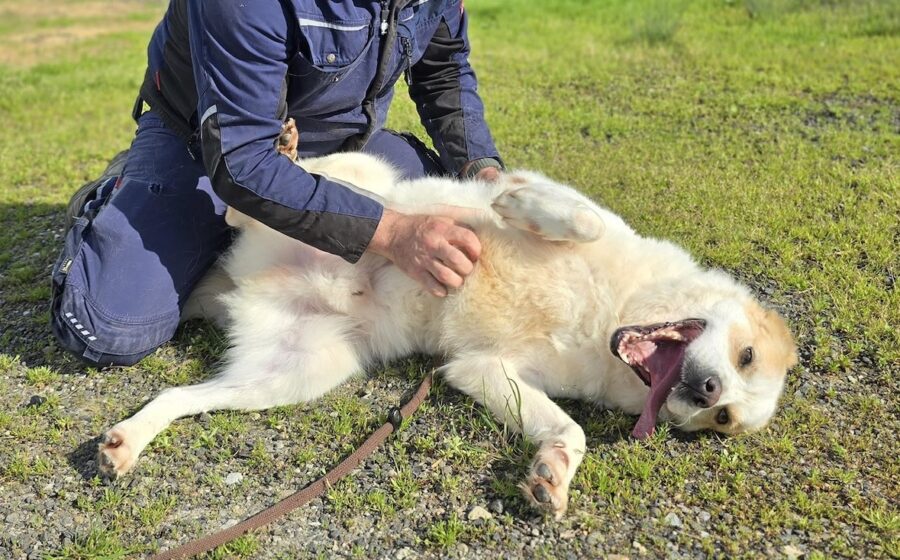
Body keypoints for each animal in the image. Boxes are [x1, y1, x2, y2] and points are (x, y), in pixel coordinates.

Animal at [97, 129, 797, 518]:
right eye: (745, 357)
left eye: (723, 421)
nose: (704, 392)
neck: (612, 314)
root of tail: (242, 283)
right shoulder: (572, 217)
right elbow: (579, 217)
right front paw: (516, 202)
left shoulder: (480, 368)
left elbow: (569, 430)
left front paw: (552, 477)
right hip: (366, 183)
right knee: (257, 198)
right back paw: (285, 150)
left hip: (293, 377)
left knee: (180, 393)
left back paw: (126, 443)